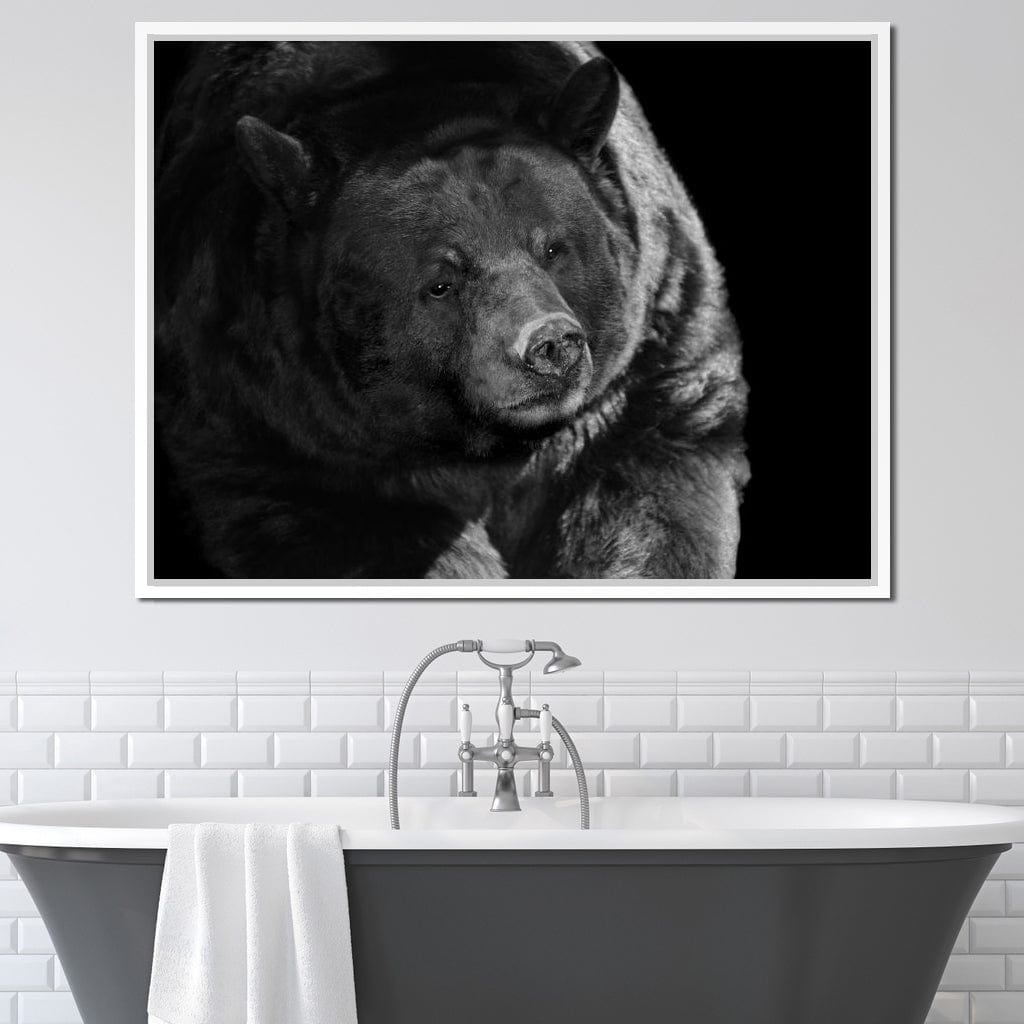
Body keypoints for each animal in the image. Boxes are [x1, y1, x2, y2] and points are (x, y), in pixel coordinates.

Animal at [154, 41, 748, 580]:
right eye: (441, 283)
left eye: (553, 248)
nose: (551, 345)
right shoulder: (270, 421)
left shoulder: (651, 357)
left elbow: (646, 506)